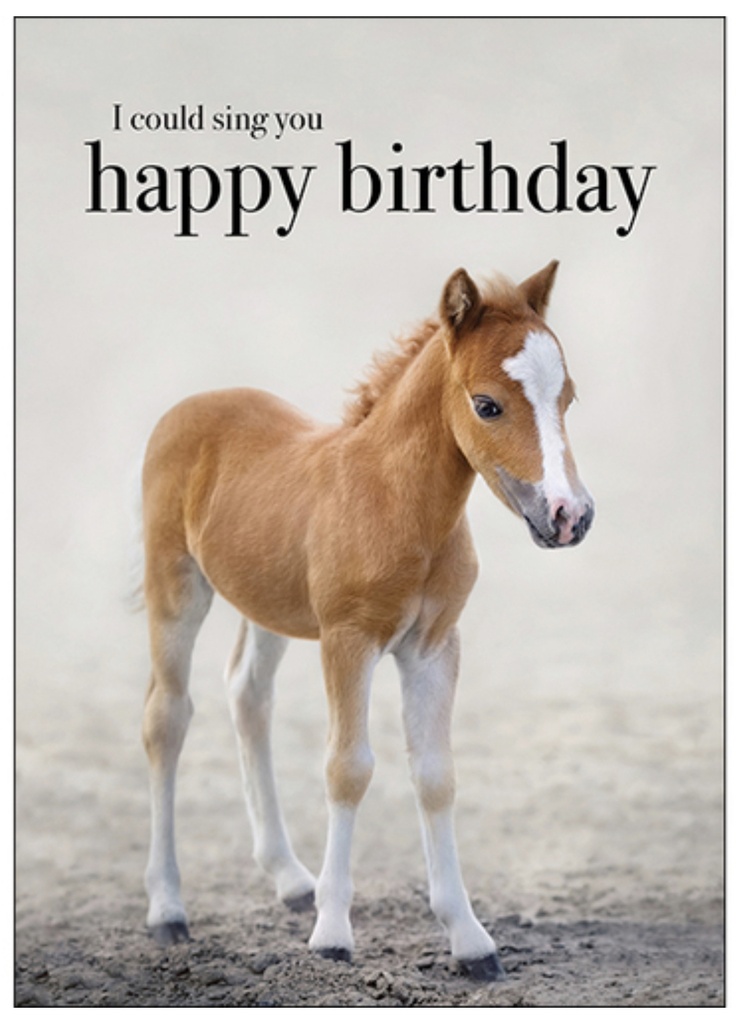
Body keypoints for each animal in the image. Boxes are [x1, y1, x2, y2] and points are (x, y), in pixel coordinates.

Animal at [139, 260, 594, 981]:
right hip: (176, 584)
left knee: (248, 695)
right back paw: (168, 910)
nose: (569, 515)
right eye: (487, 404)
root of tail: (194, 403)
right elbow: (348, 768)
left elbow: (435, 775)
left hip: (267, 602)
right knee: (167, 717)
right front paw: (332, 935)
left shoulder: (434, 646)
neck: (398, 505)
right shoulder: (347, 640)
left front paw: (470, 940)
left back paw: (291, 880)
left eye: (568, 398)